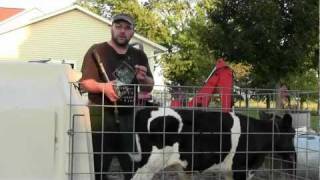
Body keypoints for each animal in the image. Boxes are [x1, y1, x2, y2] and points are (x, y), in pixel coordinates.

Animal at [131, 107, 296, 179]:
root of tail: (144, 110)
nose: (293, 156)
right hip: (147, 166)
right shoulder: (241, 168)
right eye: (292, 135)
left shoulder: (230, 171)